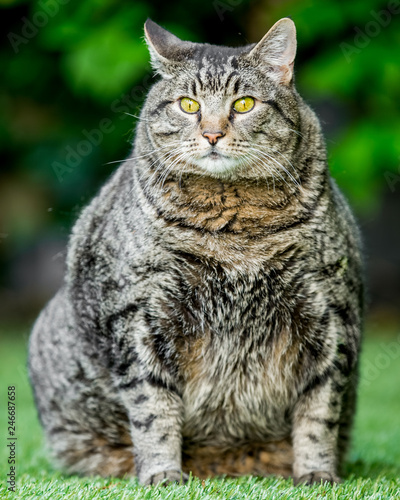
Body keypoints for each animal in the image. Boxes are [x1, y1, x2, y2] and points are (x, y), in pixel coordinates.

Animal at [28, 17, 364, 486]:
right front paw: (161, 473)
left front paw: (316, 472)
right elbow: (152, 410)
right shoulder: (137, 319)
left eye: (244, 104)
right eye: (188, 105)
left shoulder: (333, 315)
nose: (212, 133)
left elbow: (320, 412)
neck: (235, 230)